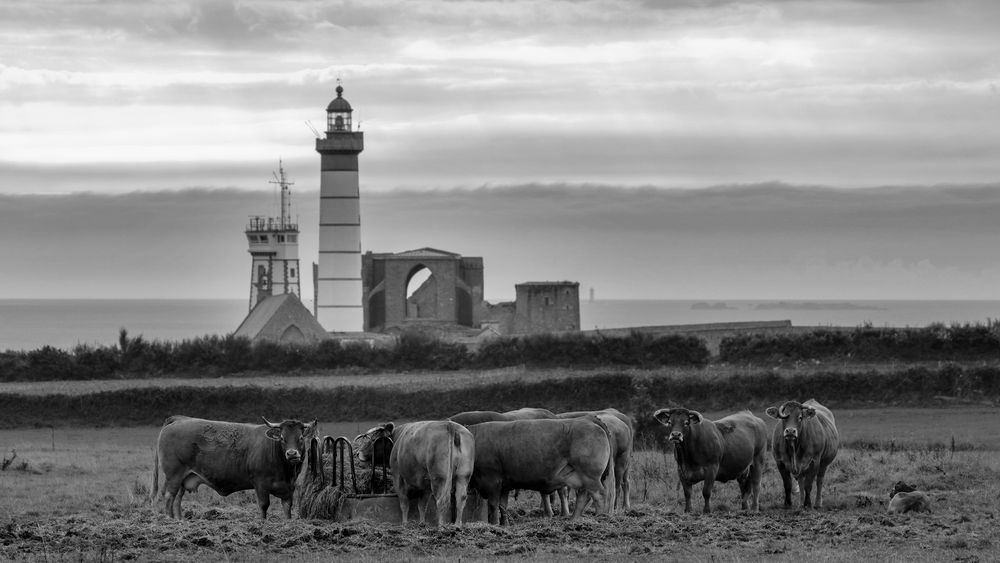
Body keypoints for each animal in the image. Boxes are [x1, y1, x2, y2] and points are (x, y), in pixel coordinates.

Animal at [152, 414, 314, 520]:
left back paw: (179, 520)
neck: (285, 471)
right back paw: (170, 520)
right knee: (169, 497)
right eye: (282, 438)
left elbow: (287, 510)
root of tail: (179, 419)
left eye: (300, 438)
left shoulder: (289, 489)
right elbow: (264, 506)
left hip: (184, 478)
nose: (292, 453)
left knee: (177, 499)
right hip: (174, 475)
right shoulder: (261, 484)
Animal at [464, 416, 612, 528]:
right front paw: (504, 525)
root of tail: (590, 421)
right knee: (583, 496)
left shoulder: (492, 482)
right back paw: (573, 519)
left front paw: (494, 525)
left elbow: (493, 506)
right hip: (580, 477)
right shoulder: (504, 485)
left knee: (600, 495)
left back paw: (601, 518)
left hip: (590, 476)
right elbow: (503, 506)